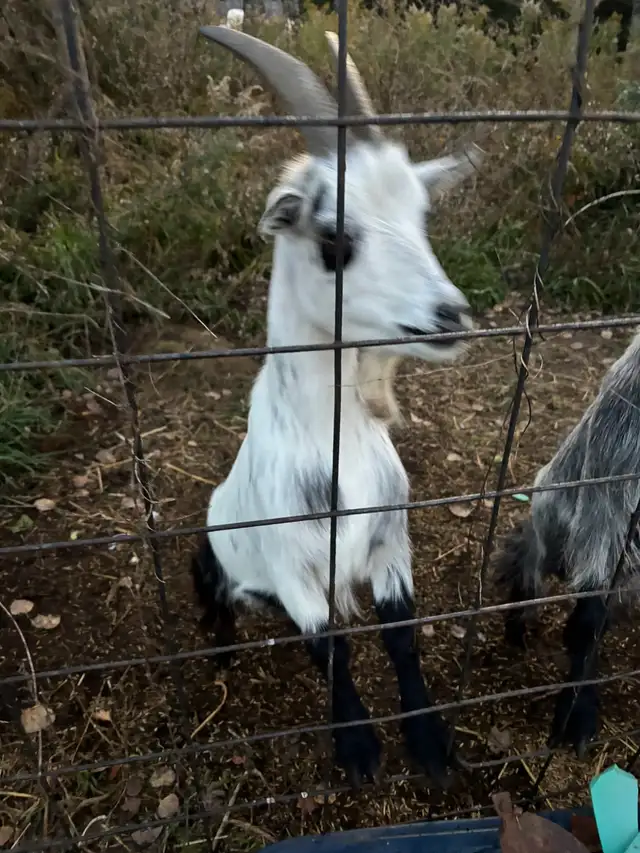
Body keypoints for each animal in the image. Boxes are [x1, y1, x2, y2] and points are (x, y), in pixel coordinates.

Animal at [191, 25, 483, 790]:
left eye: (420, 218)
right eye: (333, 239)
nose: (451, 316)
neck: (335, 442)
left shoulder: (390, 540)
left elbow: (401, 635)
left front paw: (430, 741)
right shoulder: (292, 566)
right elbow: (331, 647)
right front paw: (356, 747)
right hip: (215, 544)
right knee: (212, 591)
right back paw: (221, 650)